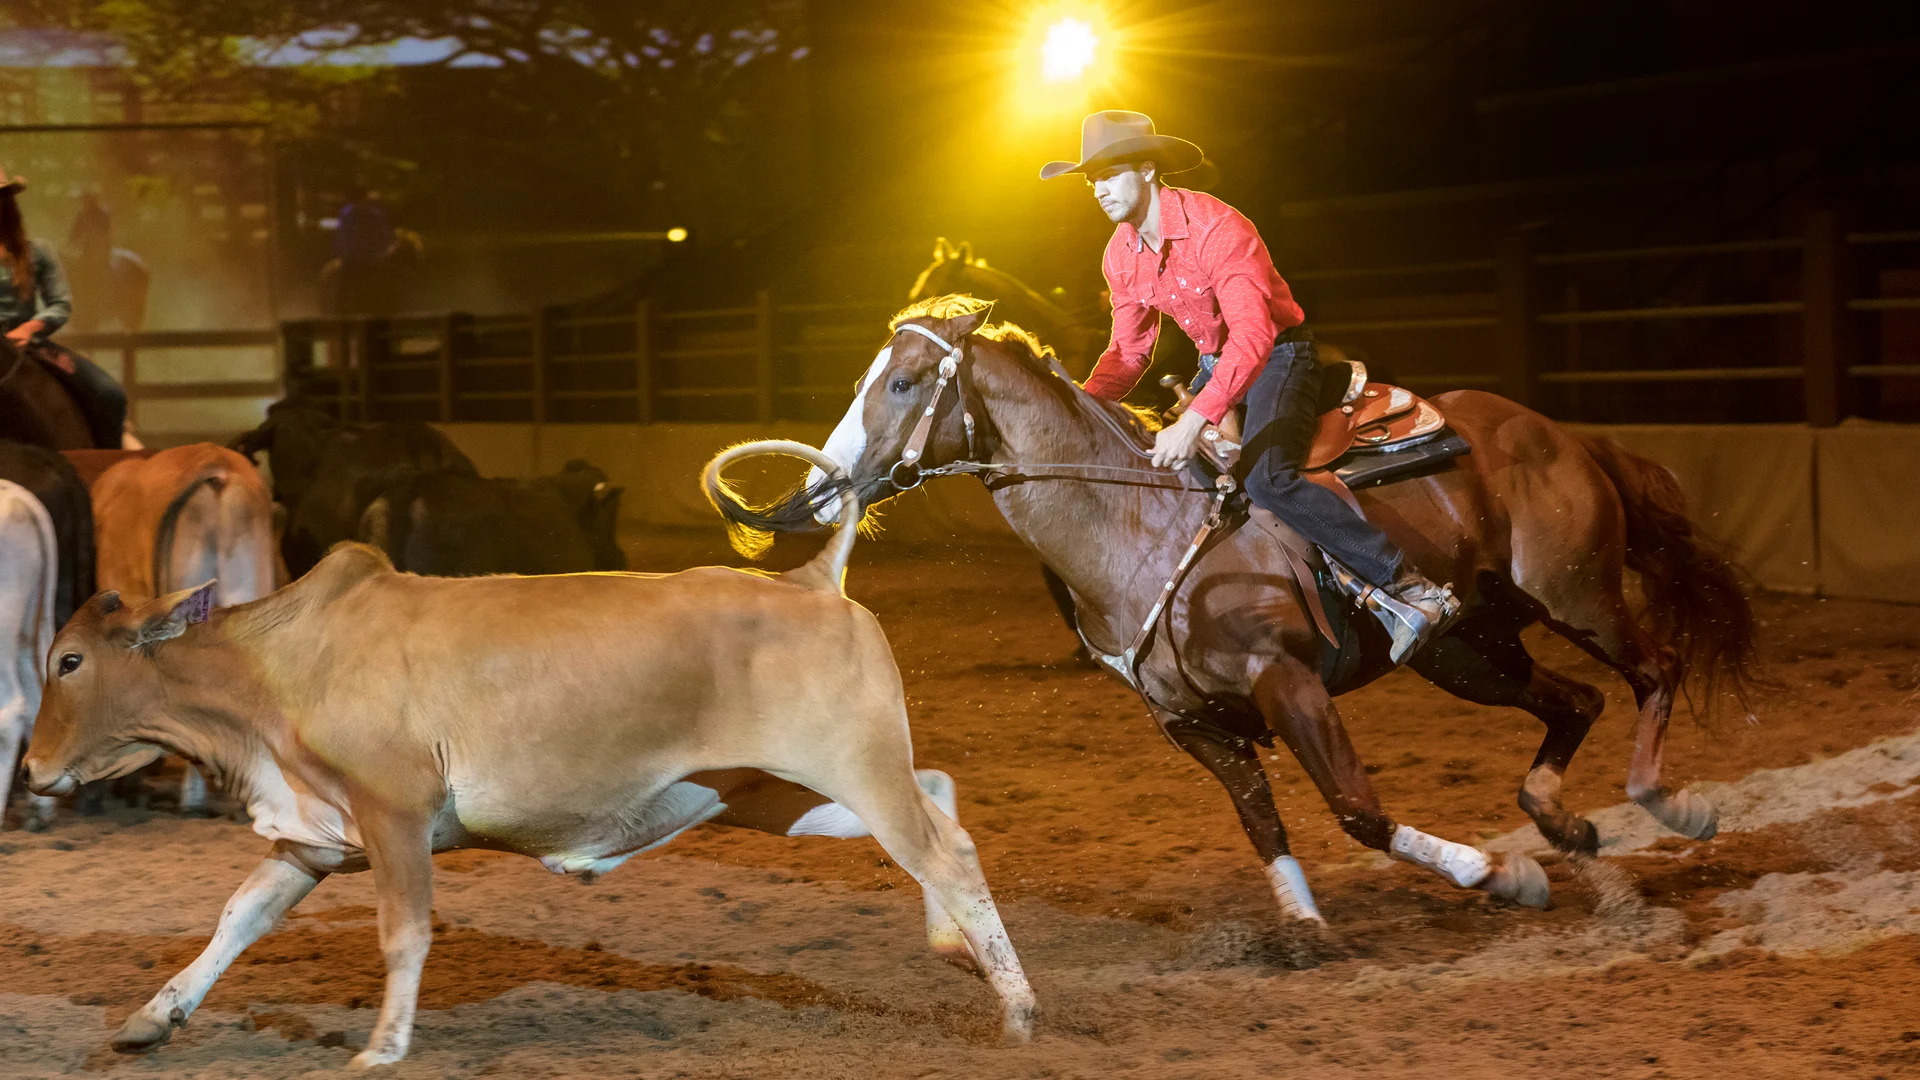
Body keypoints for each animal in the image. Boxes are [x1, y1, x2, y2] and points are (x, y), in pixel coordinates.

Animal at [707, 295, 1761, 926]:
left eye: (902, 382)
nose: (820, 488)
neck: (1140, 524)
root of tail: (1558, 431)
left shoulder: (1289, 683)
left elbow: (1357, 811)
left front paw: (1501, 875)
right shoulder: (1192, 724)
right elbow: (1266, 826)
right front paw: (1300, 925)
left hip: (1574, 593)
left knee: (1654, 670)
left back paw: (1666, 805)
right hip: (1469, 652)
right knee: (1575, 702)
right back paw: (1569, 830)